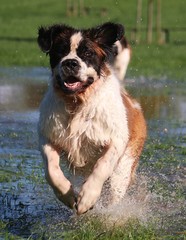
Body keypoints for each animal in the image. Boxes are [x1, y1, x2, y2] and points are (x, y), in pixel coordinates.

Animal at [37, 21, 146, 215]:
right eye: (60, 50)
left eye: (87, 53)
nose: (70, 62)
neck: (77, 102)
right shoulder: (48, 135)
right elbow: (51, 169)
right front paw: (66, 194)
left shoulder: (116, 140)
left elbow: (102, 166)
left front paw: (87, 198)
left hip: (124, 166)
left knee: (115, 188)